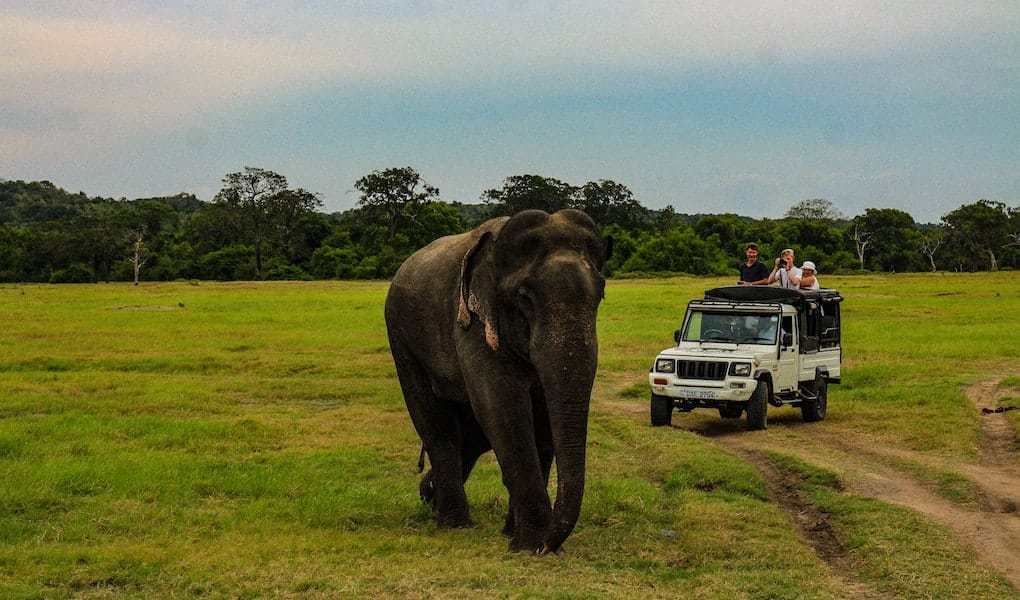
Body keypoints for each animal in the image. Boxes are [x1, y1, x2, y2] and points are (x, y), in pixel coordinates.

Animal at [384, 209, 612, 554]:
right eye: (525, 298)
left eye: (600, 295)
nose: (549, 545)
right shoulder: (472, 324)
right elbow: (502, 407)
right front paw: (530, 545)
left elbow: (540, 418)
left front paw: (518, 537)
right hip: (402, 340)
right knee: (439, 427)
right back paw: (453, 523)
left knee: (471, 436)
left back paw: (430, 496)